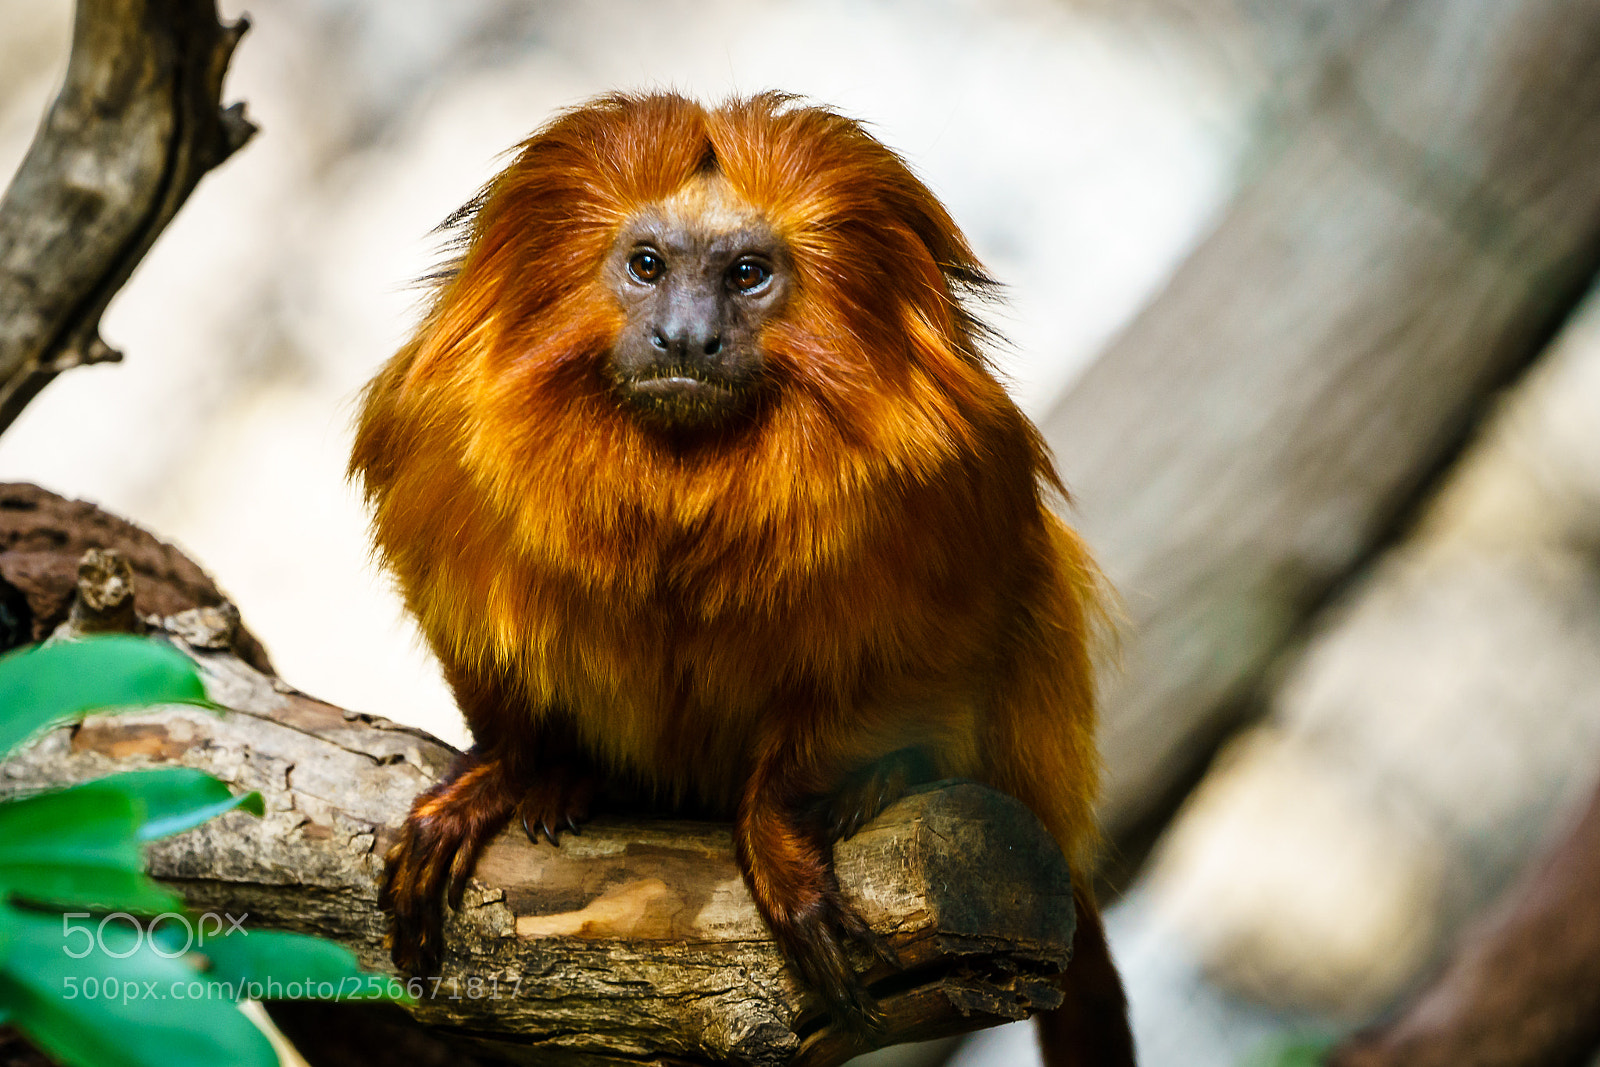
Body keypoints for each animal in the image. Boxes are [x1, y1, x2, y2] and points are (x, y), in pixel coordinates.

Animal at [351, 91, 1135, 1065]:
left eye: (748, 274)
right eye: (648, 266)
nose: (687, 336)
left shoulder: (944, 489)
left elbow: (921, 647)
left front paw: (787, 827)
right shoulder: (439, 447)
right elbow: (477, 628)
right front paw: (511, 770)